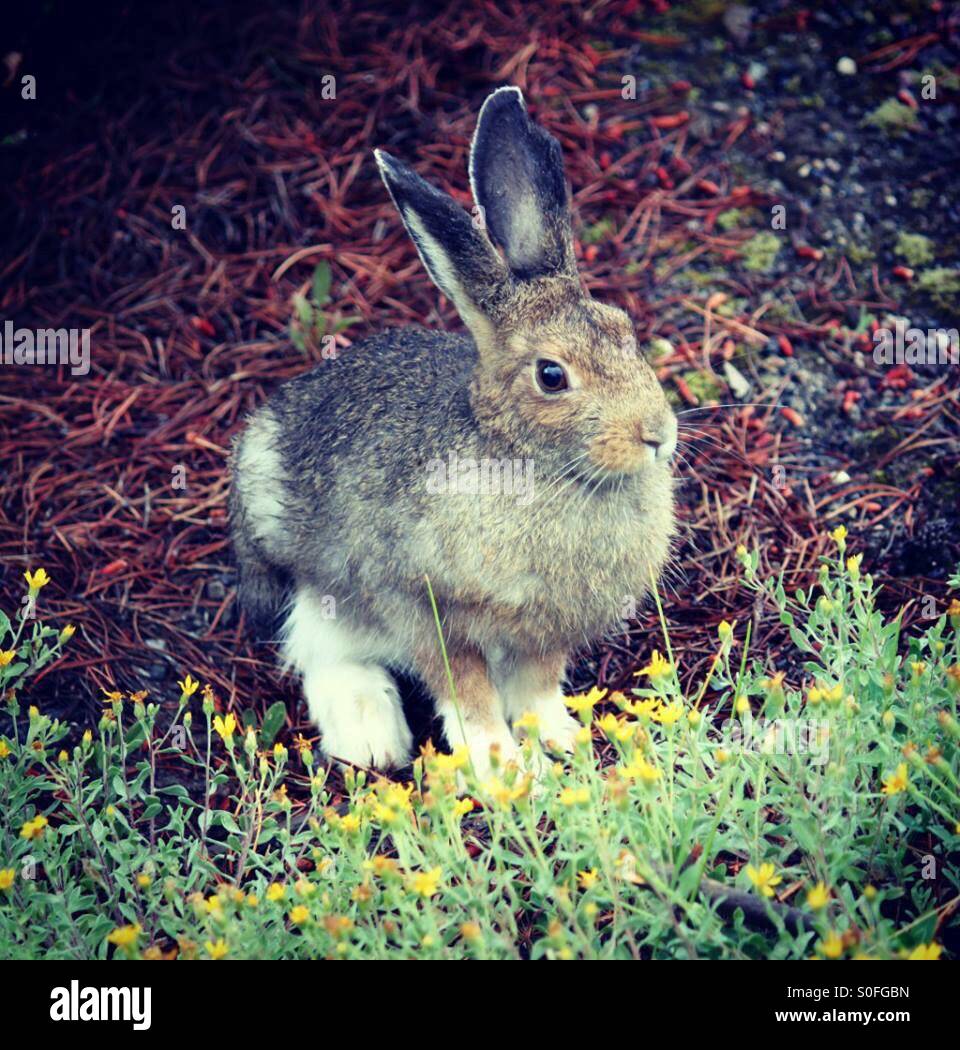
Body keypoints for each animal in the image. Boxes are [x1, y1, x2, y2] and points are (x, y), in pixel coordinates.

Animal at [230, 86, 677, 778]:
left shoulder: (546, 632)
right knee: (319, 649)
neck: (529, 460)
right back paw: (372, 738)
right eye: (552, 375)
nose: (658, 435)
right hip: (296, 563)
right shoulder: (422, 607)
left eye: (624, 330)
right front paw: (501, 768)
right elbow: (465, 690)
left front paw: (559, 737)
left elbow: (536, 686)